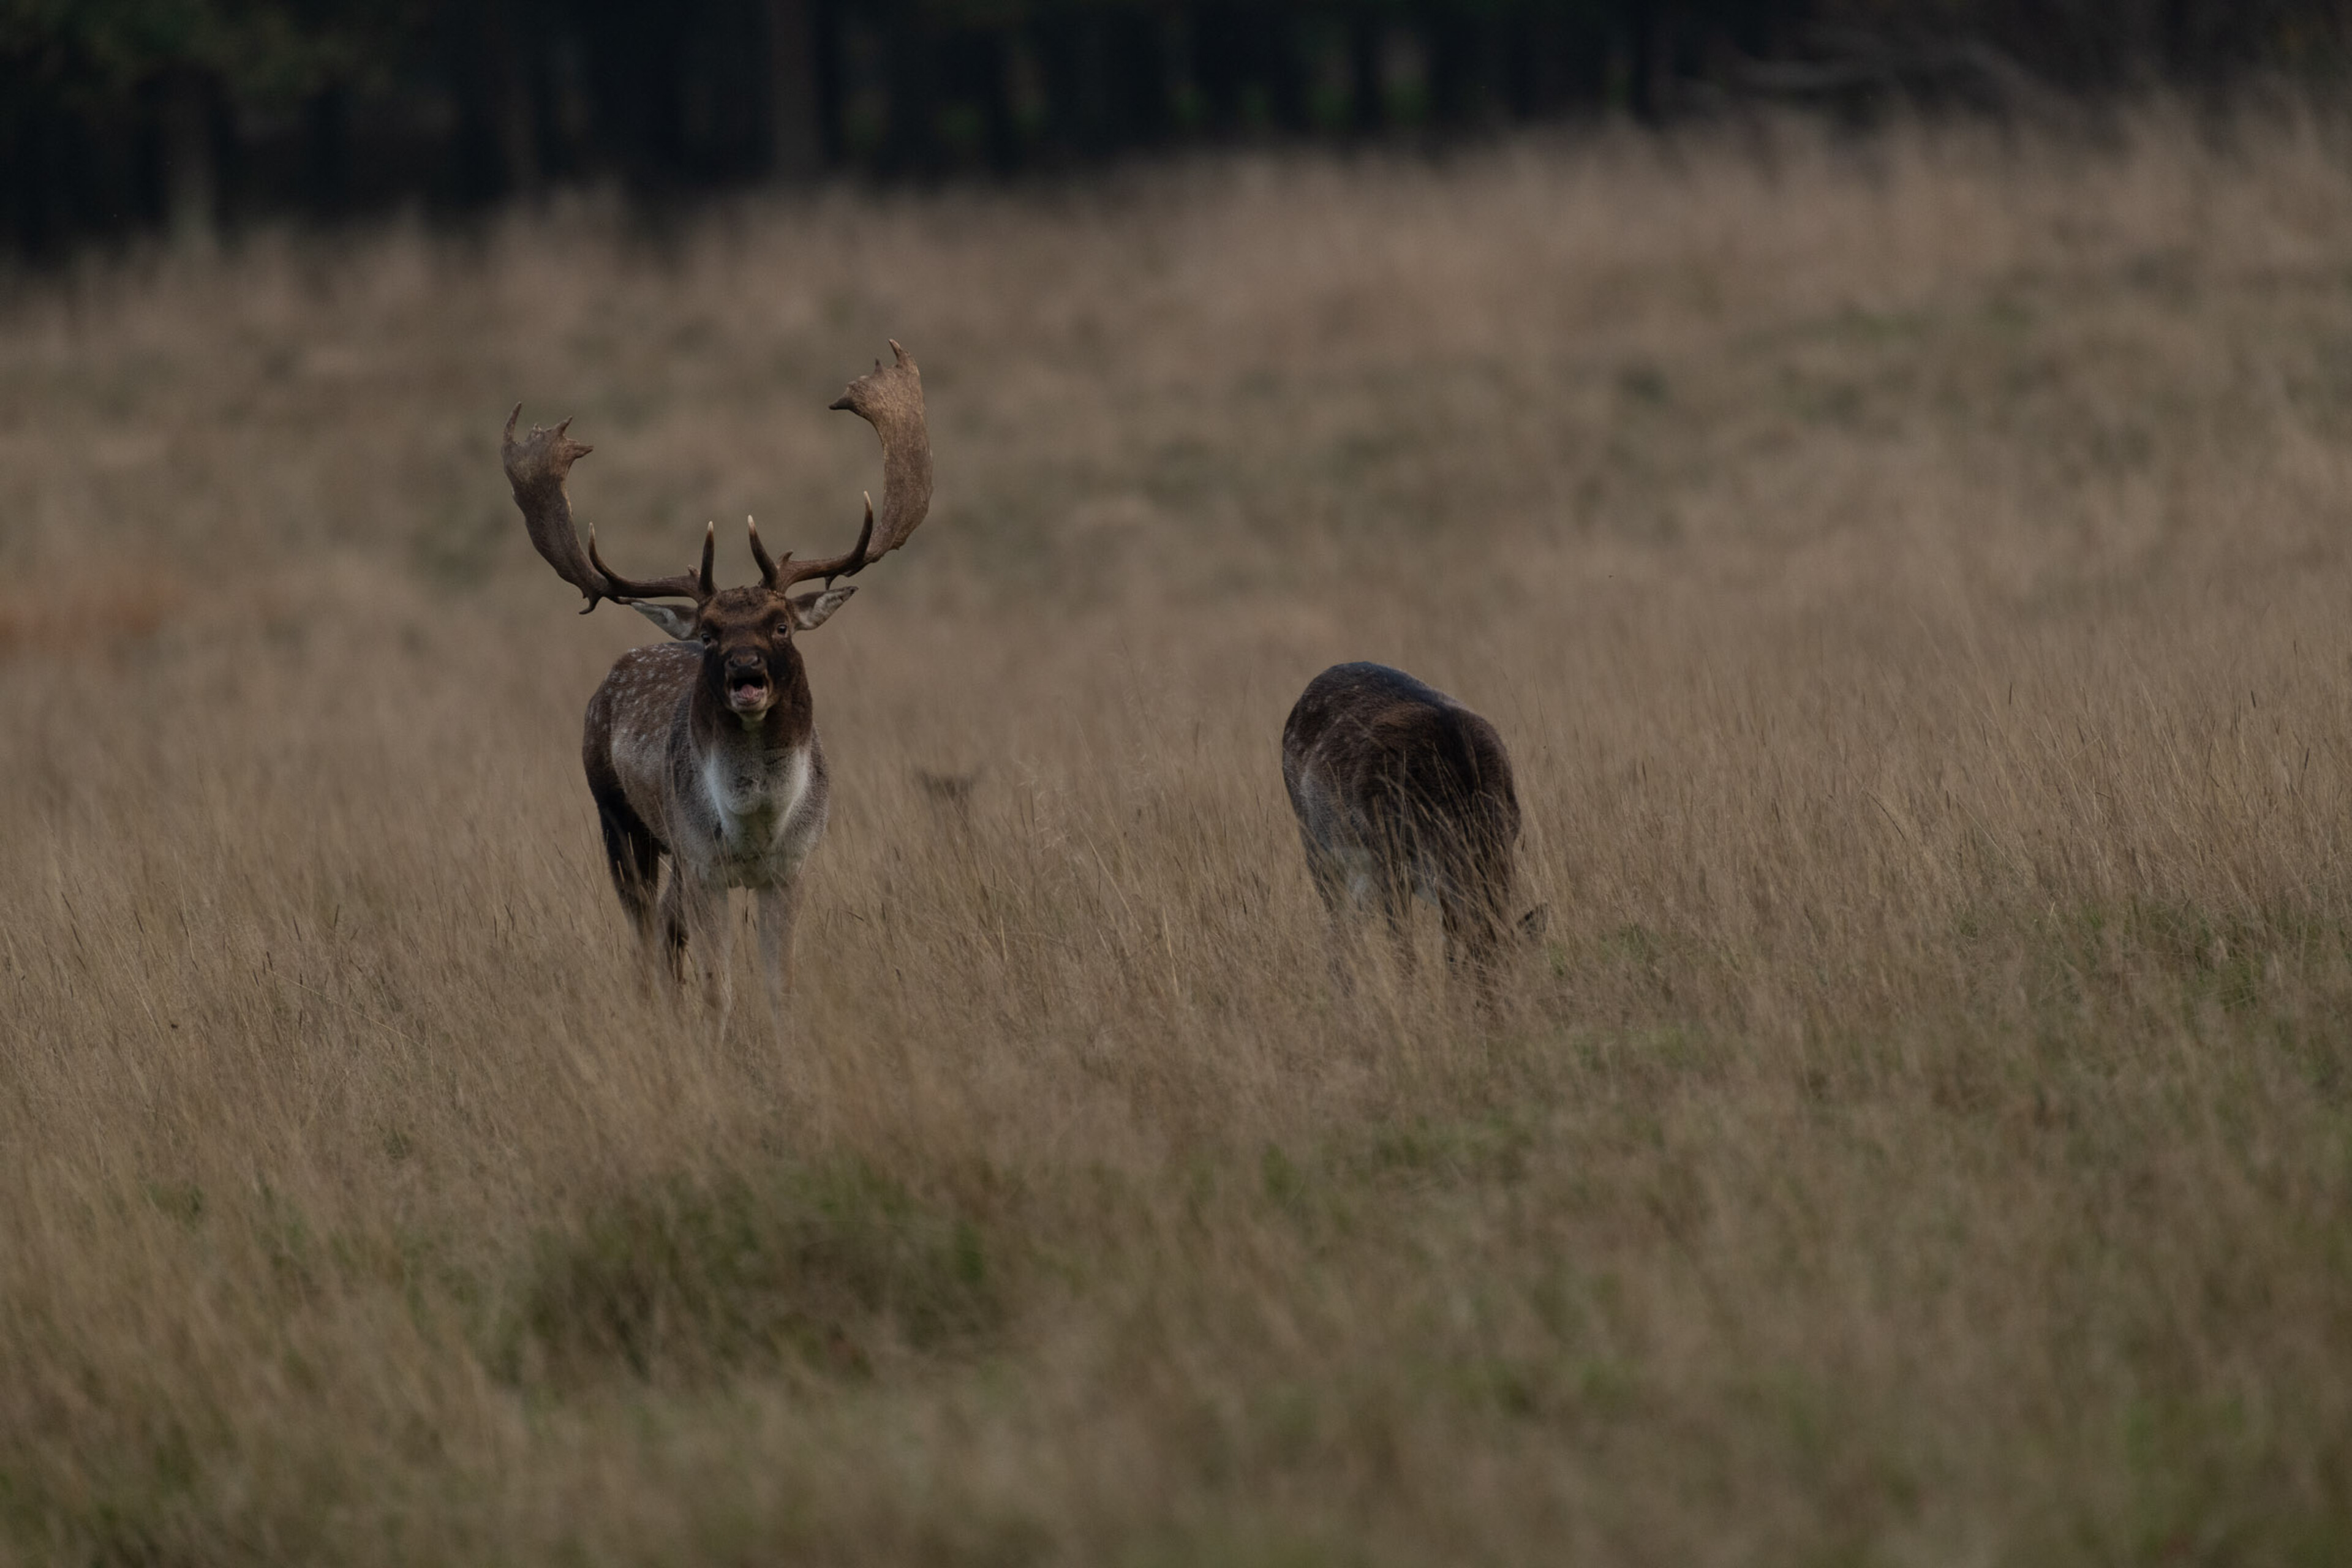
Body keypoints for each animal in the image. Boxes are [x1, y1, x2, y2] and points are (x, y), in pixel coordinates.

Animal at [500, 342, 931, 1022]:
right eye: (708, 632)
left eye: (782, 625)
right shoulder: (704, 864)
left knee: (664, 926)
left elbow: (780, 985)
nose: (745, 672)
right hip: (620, 820)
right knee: (645, 931)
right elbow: (718, 986)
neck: (755, 826)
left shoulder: (793, 866)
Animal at [1282, 662, 1546, 1009]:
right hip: (1315, 843)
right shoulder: (1387, 858)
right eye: (1471, 975)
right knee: (1336, 925)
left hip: (1360, 876)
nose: (1492, 1011)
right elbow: (1403, 948)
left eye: (1515, 973)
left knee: (1350, 928)